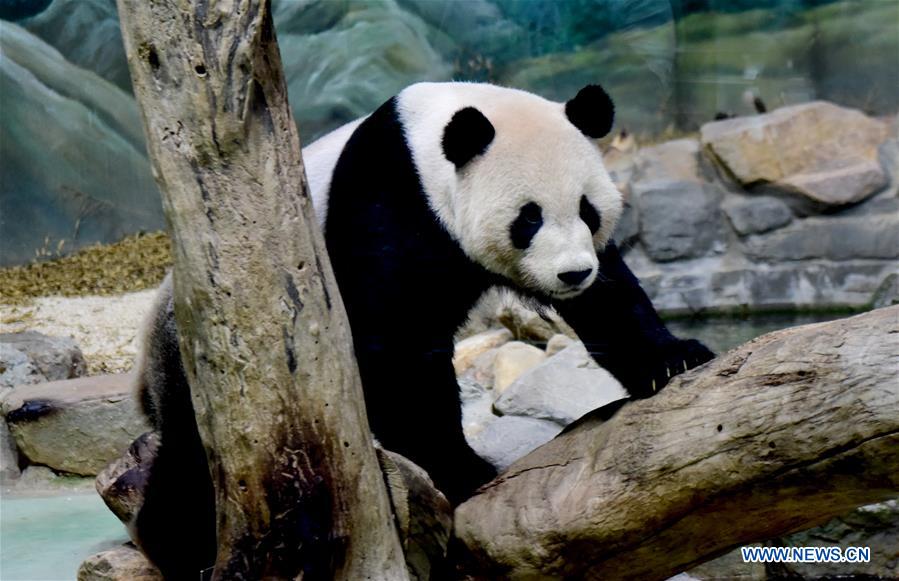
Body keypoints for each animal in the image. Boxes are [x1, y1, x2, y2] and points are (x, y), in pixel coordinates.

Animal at [133, 82, 715, 578]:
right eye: (529, 217)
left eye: (587, 210)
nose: (572, 274)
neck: (427, 151)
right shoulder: (385, 204)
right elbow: (394, 351)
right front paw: (463, 469)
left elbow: (611, 298)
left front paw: (674, 358)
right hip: (208, 364)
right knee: (192, 455)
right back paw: (178, 547)